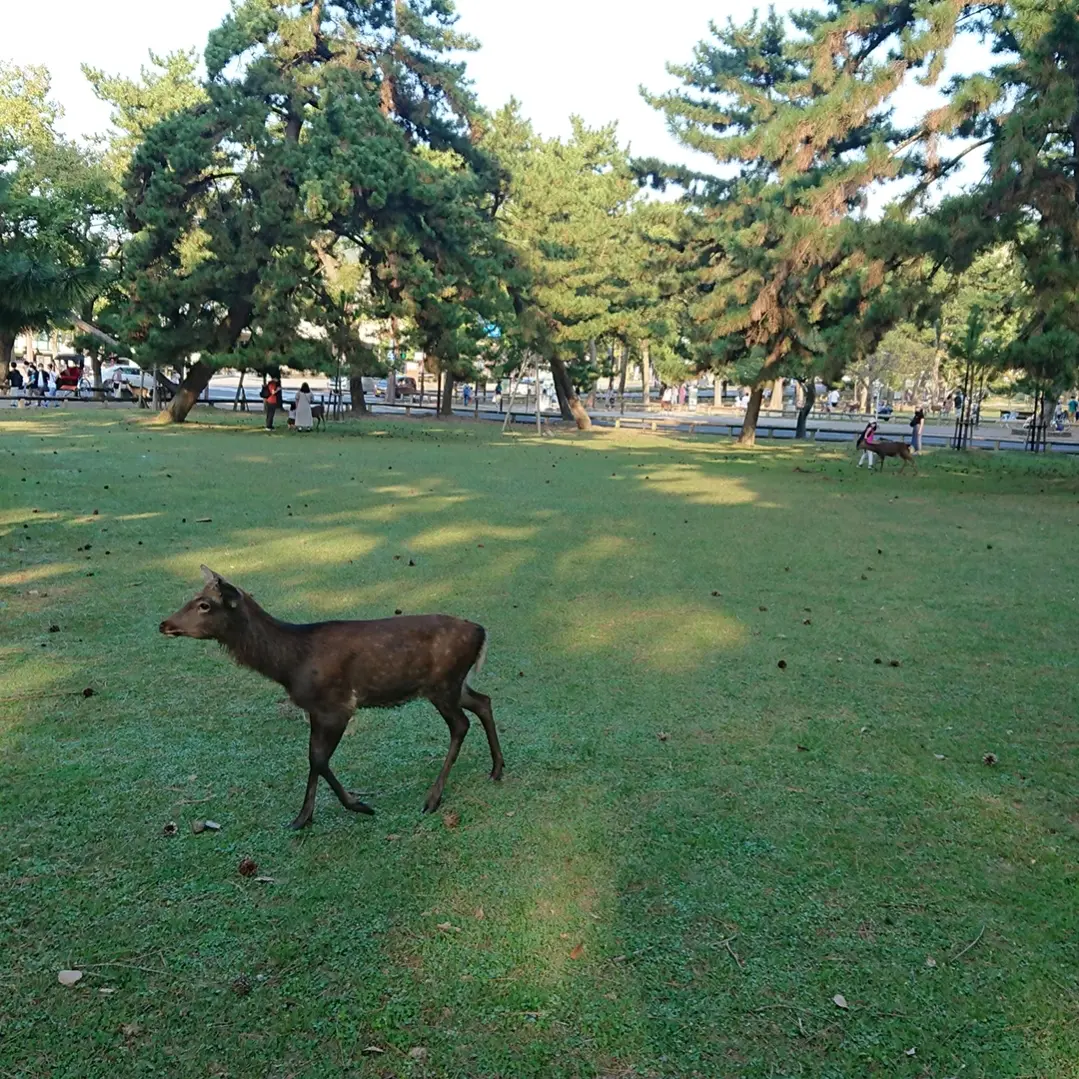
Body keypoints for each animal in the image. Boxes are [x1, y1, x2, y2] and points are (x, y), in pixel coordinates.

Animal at [159, 567, 503, 829]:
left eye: (204, 605)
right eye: (193, 598)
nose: (164, 624)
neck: (289, 665)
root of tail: (482, 631)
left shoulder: (338, 706)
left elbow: (320, 759)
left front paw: (359, 805)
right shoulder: (314, 709)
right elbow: (313, 758)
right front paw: (302, 818)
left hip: (443, 684)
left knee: (460, 724)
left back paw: (433, 798)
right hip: (453, 685)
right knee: (483, 701)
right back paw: (497, 769)